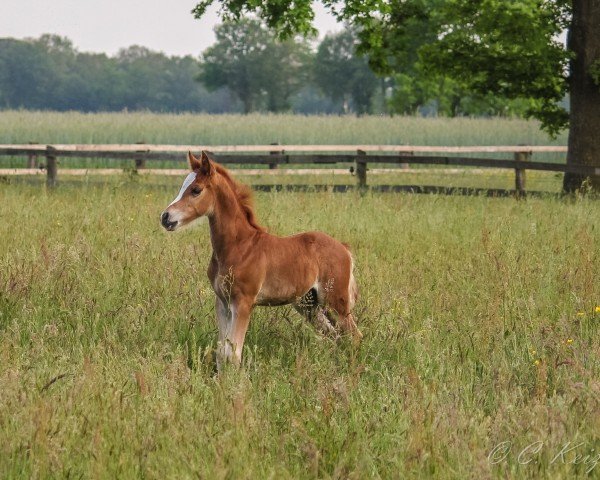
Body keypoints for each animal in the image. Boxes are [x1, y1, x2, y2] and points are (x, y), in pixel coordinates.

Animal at [159, 152, 360, 370]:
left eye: (196, 190)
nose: (165, 217)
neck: (239, 246)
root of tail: (344, 248)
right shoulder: (222, 302)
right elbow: (222, 353)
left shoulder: (243, 303)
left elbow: (233, 354)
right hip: (309, 306)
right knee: (335, 335)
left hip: (336, 302)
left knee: (354, 335)